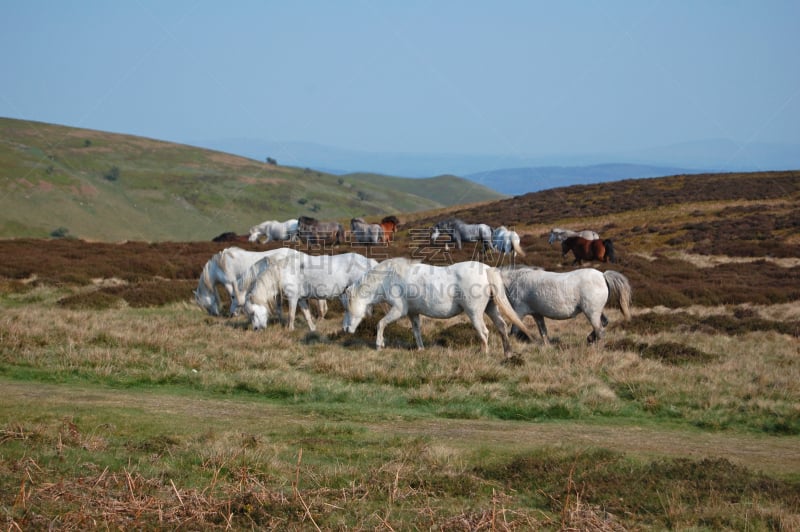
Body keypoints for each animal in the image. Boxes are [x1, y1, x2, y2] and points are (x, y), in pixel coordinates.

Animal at [244, 251, 378, 330]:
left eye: (252, 313)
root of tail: (368, 260)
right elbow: (307, 314)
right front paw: (313, 329)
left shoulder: (293, 297)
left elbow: (291, 315)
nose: (256, 329)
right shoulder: (301, 299)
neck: (283, 272)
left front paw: (289, 330)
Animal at [342, 258, 532, 358]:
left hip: (474, 313)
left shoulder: (398, 310)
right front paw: (420, 349)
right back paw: (508, 353)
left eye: (346, 308)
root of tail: (486, 270)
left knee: (484, 332)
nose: (345, 329)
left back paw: (483, 354)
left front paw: (379, 344)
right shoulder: (413, 313)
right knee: (501, 326)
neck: (389, 277)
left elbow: (380, 324)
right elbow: (416, 331)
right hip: (491, 308)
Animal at [500, 266, 632, 344]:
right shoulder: (537, 314)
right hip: (597, 311)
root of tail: (603, 275)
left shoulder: (519, 311)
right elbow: (543, 331)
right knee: (603, 323)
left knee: (600, 331)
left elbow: (514, 329)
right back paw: (590, 339)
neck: (515, 282)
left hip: (591, 313)